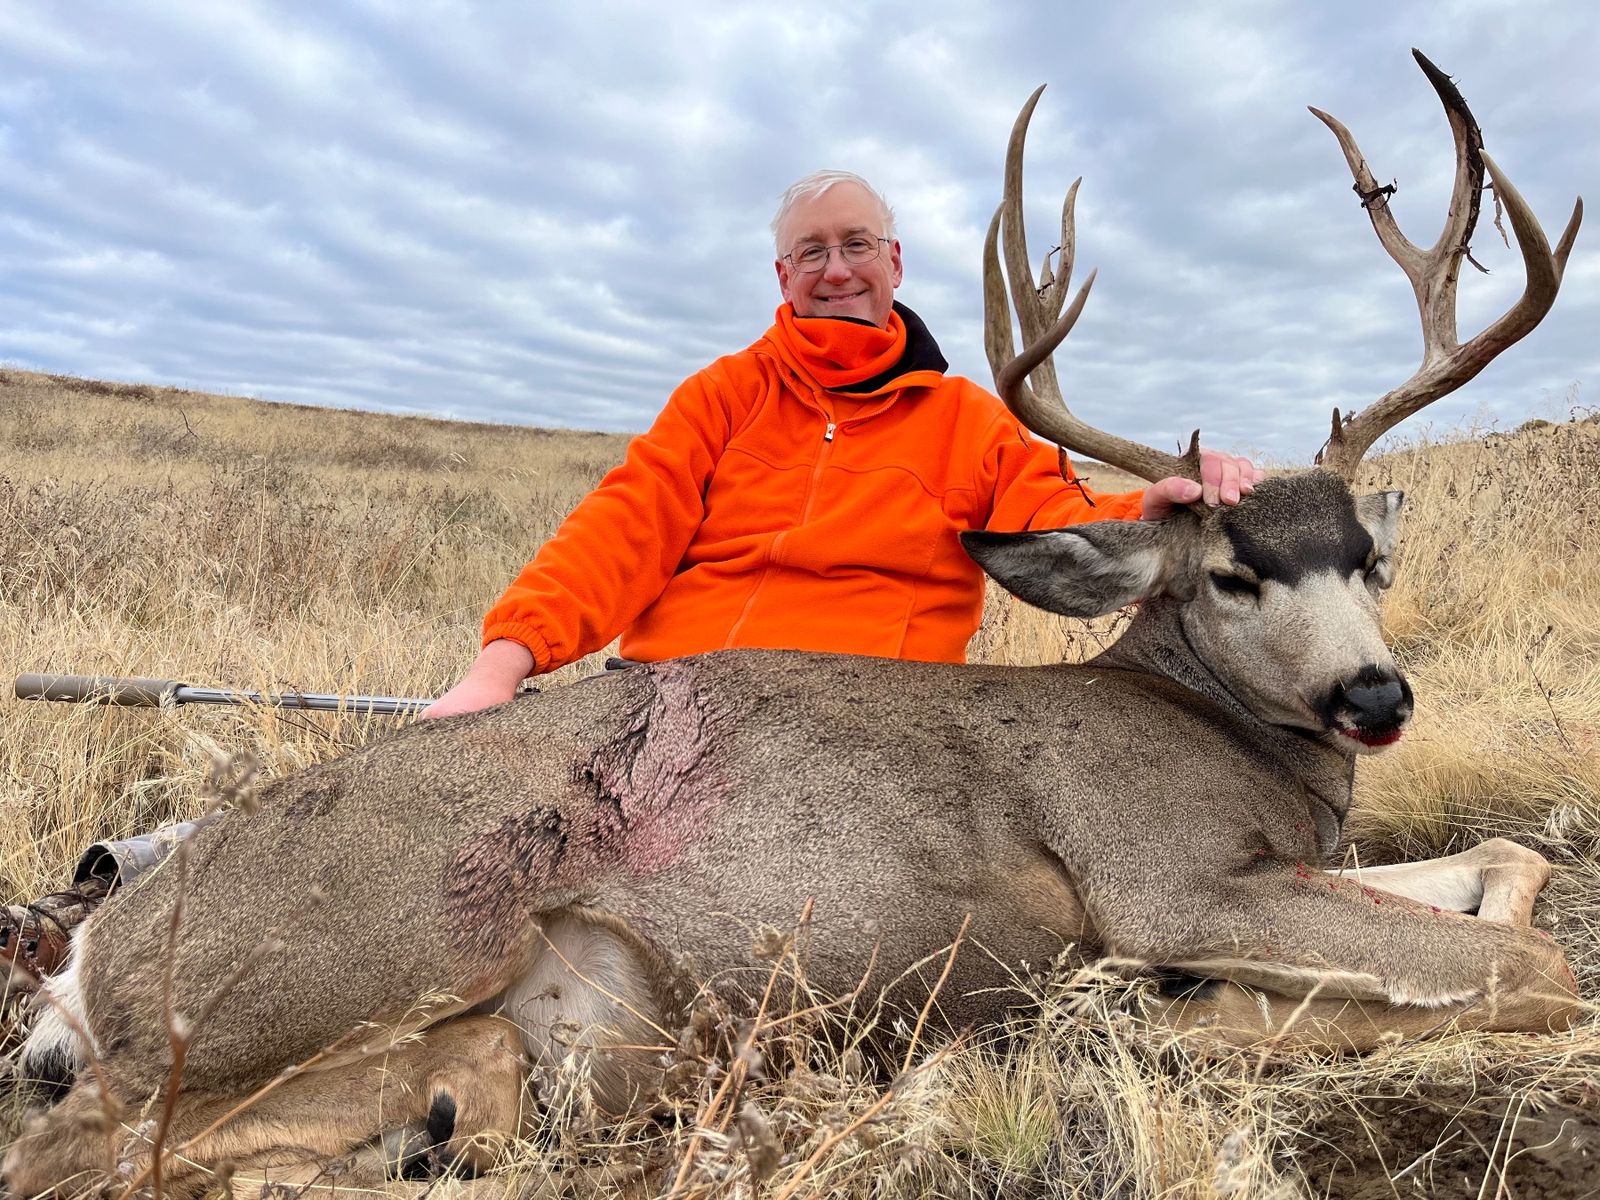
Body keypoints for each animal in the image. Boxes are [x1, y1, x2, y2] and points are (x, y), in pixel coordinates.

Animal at [3, 50, 1585, 1197]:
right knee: (73, 1150)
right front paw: (1193, 1016)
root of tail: (93, 946)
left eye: (1367, 561)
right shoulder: (1165, 877)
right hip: (367, 943)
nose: (1377, 699)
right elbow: (1540, 968)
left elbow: (1511, 863)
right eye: (1230, 574)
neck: (1223, 739)